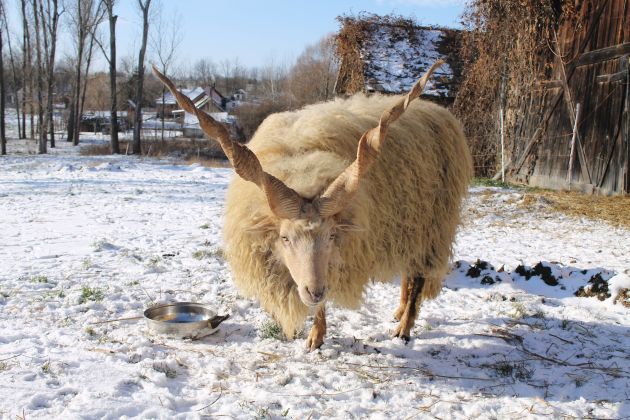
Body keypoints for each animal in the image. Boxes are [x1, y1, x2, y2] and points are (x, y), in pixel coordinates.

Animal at [154, 61, 474, 352]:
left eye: (331, 236)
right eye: (285, 238)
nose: (314, 291)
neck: (301, 164)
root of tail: (437, 110)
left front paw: (315, 338)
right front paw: (315, 336)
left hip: (433, 224)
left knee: (418, 278)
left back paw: (404, 329)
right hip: (411, 223)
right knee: (408, 274)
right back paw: (398, 312)